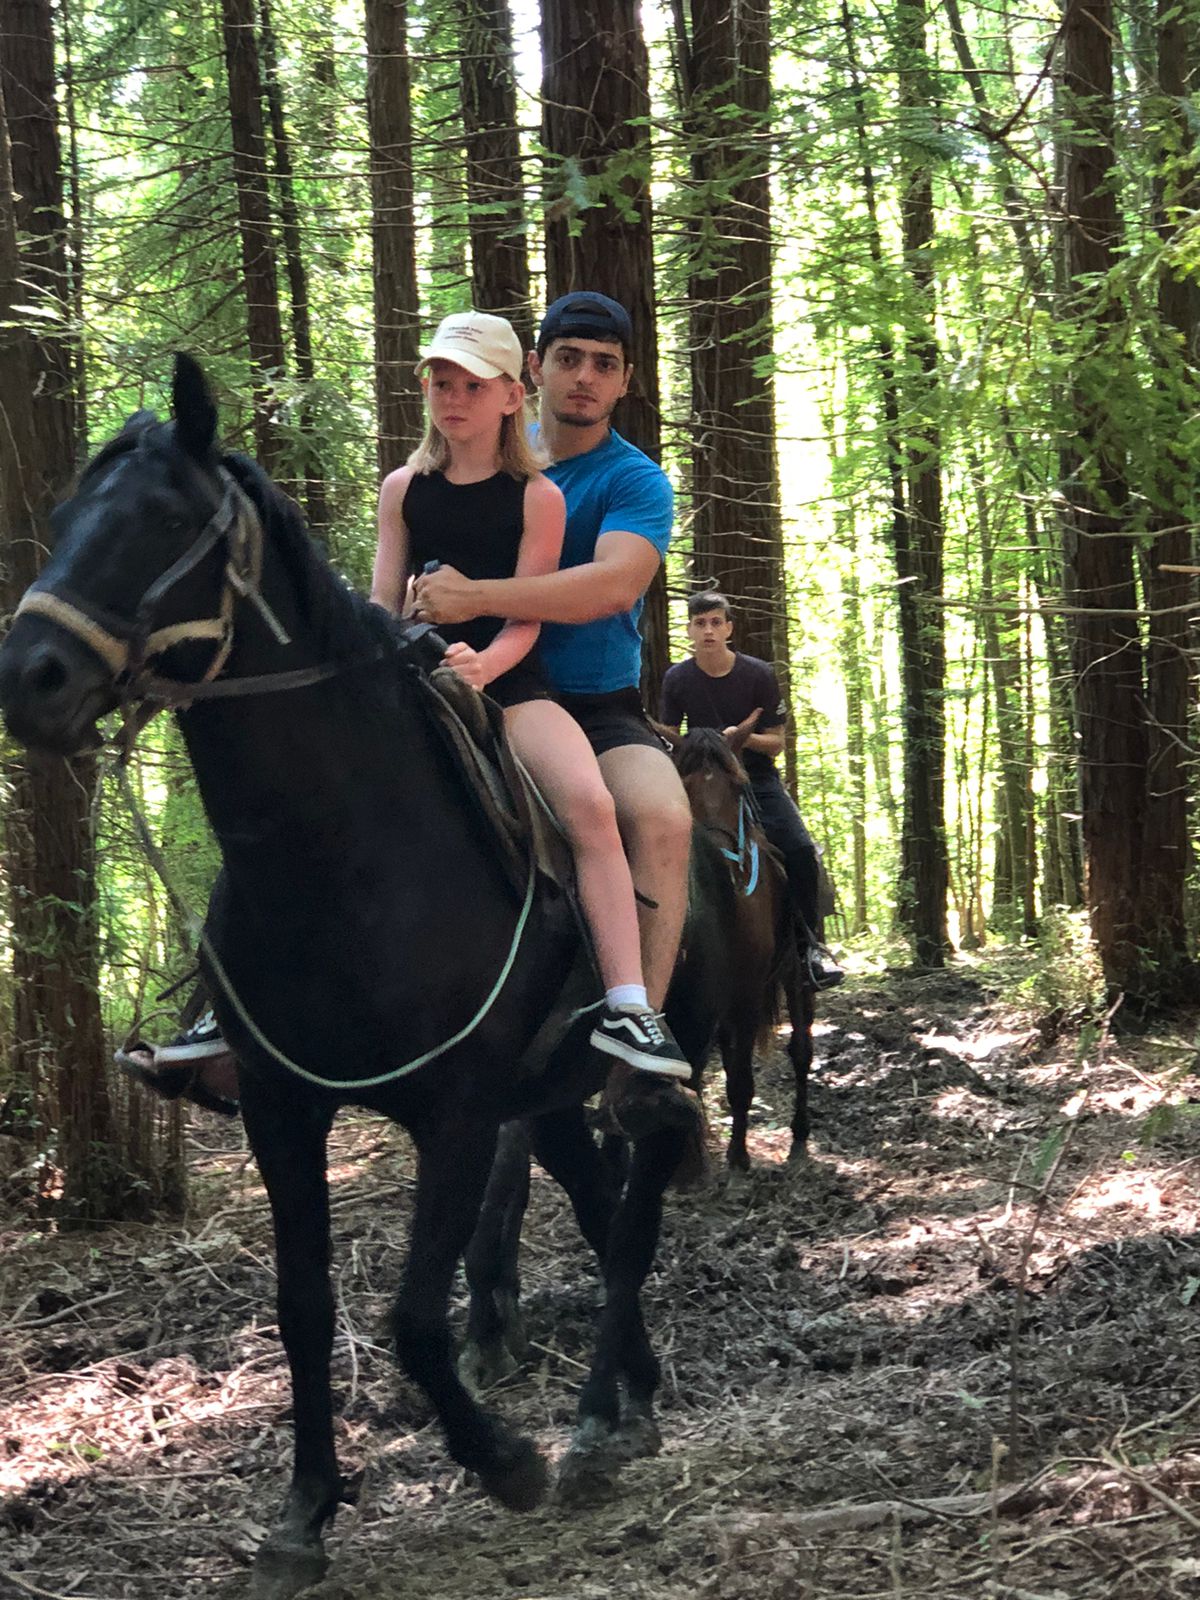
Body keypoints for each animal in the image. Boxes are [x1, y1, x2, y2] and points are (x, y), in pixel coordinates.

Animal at [0, 355, 729, 1600]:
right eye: (59, 516)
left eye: (169, 521)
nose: (28, 675)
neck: (345, 854)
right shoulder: (282, 1109)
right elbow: (304, 1307)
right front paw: (302, 1514)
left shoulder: (456, 1113)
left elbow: (417, 1318)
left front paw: (504, 1460)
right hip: (551, 1095)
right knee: (597, 1202)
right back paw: (625, 1406)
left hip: (653, 1067)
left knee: (634, 1203)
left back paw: (591, 1423)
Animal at [660, 718, 814, 1169]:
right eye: (683, 783)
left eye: (738, 785)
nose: (715, 860)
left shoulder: (745, 996)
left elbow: (742, 1080)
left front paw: (738, 1158)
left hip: (795, 978)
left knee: (801, 1050)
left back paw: (800, 1133)